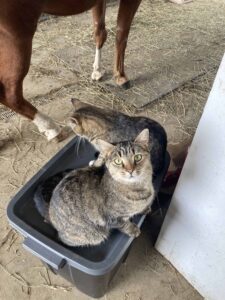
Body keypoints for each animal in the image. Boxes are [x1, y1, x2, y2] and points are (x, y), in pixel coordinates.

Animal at [0, 0, 141, 141]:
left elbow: (99, 32)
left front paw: (97, 70)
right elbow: (121, 35)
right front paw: (120, 76)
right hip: (17, 36)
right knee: (11, 95)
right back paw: (51, 128)